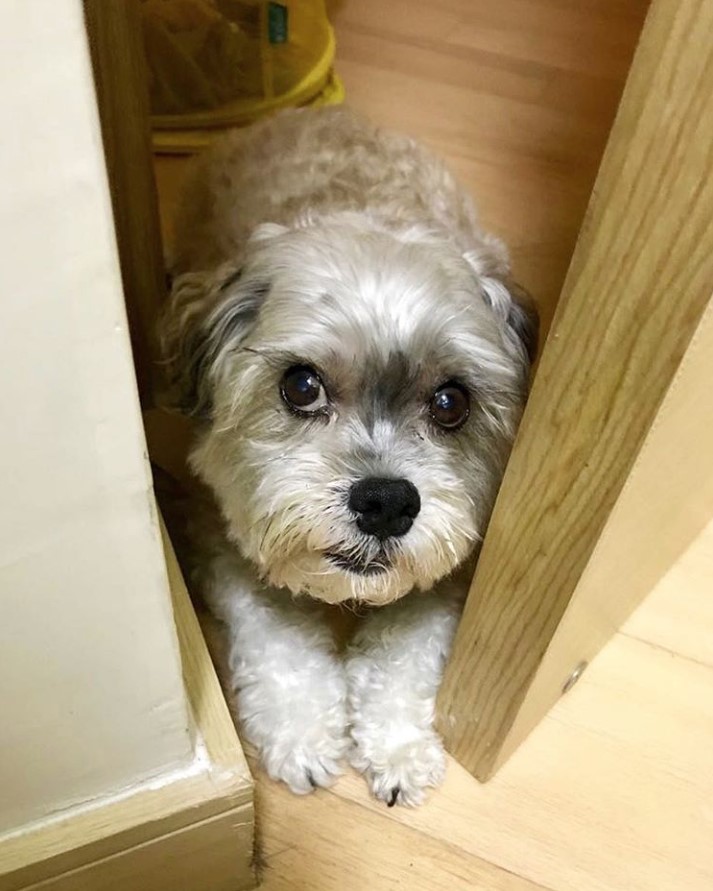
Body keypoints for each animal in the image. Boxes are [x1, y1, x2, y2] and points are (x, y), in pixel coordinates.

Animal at [161, 104, 536, 808]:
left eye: (452, 401)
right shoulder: (226, 532)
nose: (387, 502)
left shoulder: (451, 561)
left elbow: (403, 652)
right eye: (301, 385)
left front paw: (399, 749)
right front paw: (303, 737)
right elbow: (280, 640)